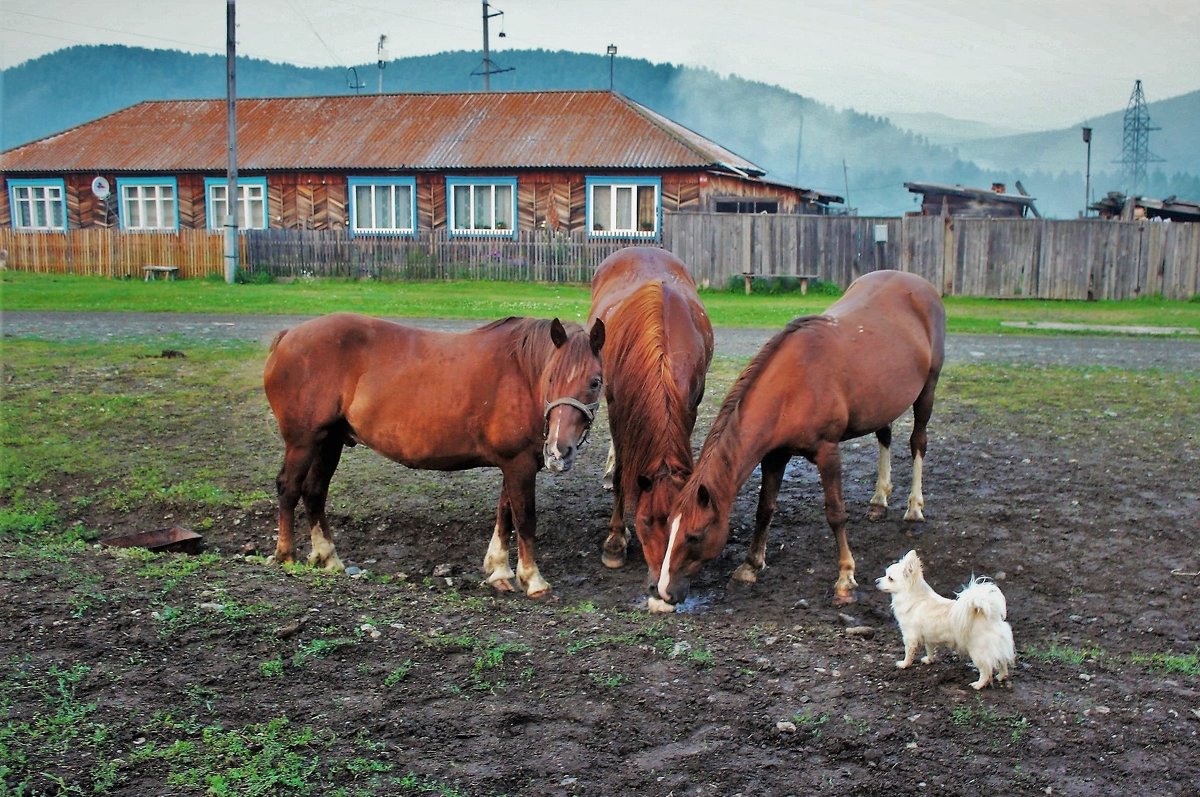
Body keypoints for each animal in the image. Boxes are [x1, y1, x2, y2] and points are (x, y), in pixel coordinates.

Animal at [260, 312, 600, 597]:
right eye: (552, 377)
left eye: (595, 381)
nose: (558, 451)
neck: (523, 374)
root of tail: (287, 336)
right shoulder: (519, 464)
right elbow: (525, 519)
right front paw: (533, 579)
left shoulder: (514, 463)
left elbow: (505, 515)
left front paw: (499, 571)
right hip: (303, 442)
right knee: (289, 488)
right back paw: (285, 554)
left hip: (329, 442)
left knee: (314, 492)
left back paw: (328, 557)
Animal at [588, 246, 710, 588]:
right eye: (644, 521)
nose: (661, 582)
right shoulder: (618, 407)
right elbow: (622, 473)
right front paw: (615, 541)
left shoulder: (690, 405)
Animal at [657, 268, 945, 609]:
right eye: (668, 527)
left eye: (695, 535)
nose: (663, 591)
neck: (792, 387)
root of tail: (919, 284)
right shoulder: (774, 455)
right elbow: (765, 508)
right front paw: (750, 565)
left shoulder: (827, 451)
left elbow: (835, 513)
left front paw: (845, 579)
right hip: (881, 402)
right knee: (884, 436)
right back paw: (879, 501)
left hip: (927, 390)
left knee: (918, 443)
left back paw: (914, 509)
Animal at [878, 547, 1017, 691]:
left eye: (890, 578)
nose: (876, 581)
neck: (915, 598)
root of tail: (991, 616)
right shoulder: (928, 636)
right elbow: (930, 649)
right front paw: (929, 660)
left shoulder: (910, 637)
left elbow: (909, 652)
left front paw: (904, 664)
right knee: (1002, 662)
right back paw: (1001, 676)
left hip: (978, 652)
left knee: (986, 670)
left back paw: (978, 685)